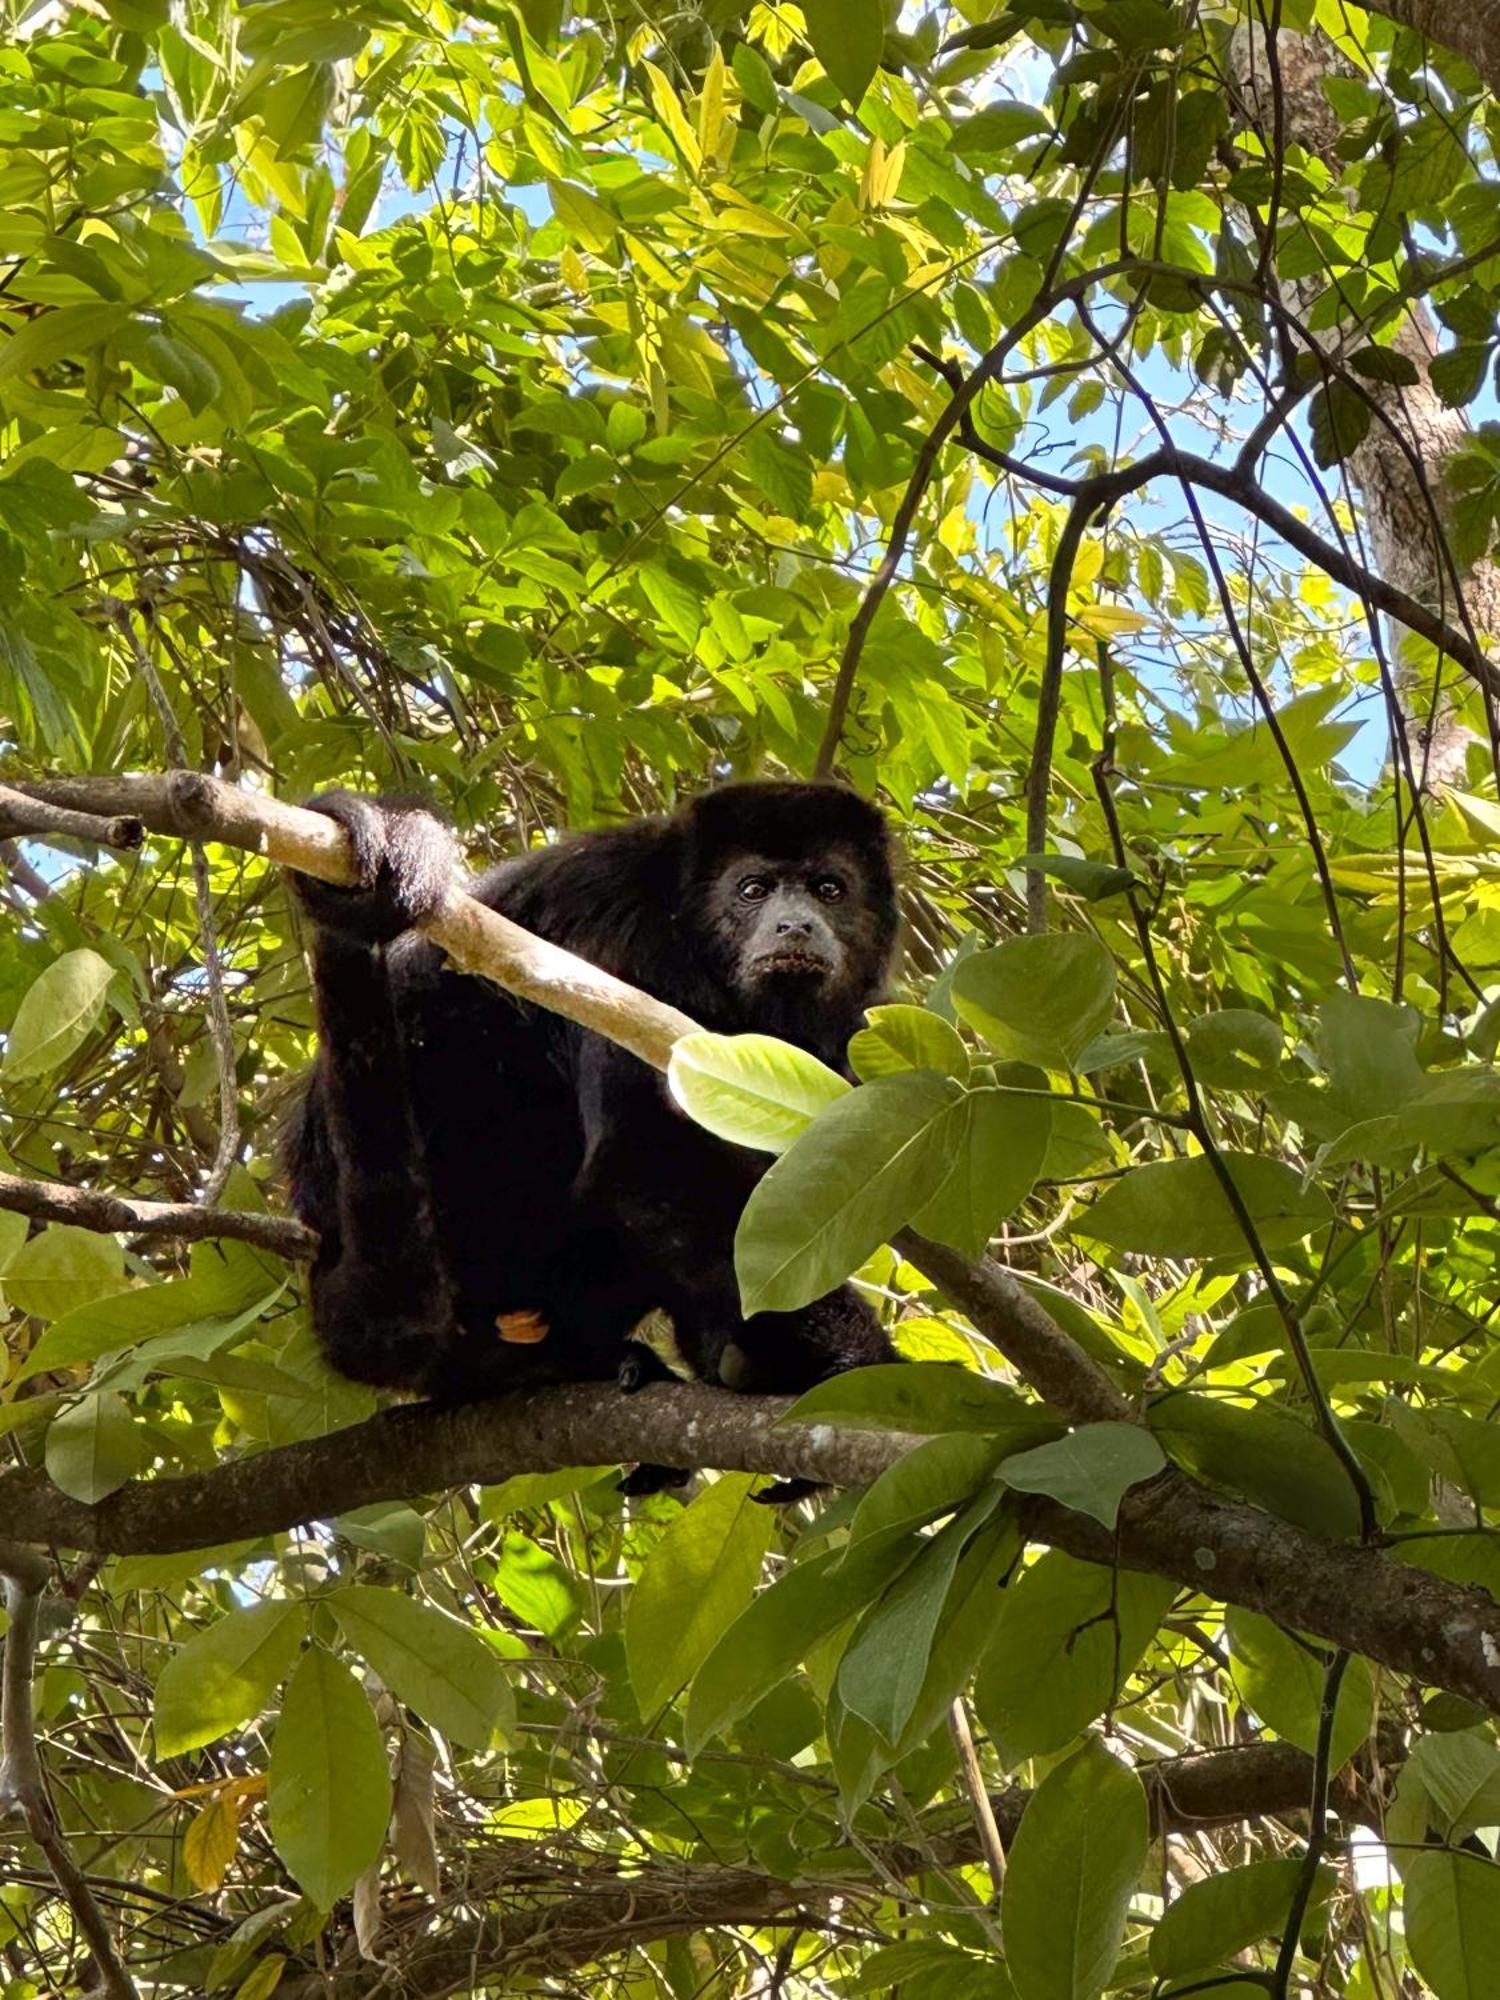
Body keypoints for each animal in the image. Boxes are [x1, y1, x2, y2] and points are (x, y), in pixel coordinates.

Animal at [280, 776, 904, 1440]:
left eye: (829, 889)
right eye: (753, 889)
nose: (795, 925)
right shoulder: (634, 947)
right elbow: (644, 1158)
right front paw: (858, 1359)